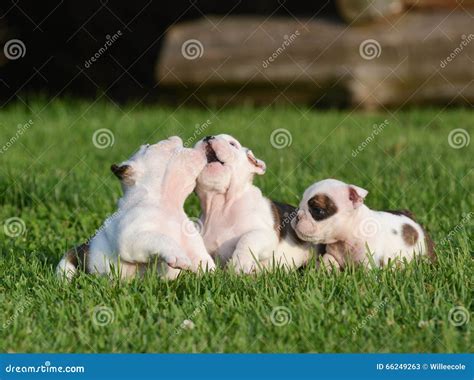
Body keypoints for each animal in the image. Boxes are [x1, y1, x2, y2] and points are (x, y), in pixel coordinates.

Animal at [56, 136, 217, 280]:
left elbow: (205, 262)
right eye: (148, 145)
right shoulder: (133, 238)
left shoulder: (195, 248)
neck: (166, 204)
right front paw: (178, 255)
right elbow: (161, 238)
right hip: (68, 263)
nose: (174, 137)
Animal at [191, 134, 316, 274]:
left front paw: (240, 262)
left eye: (232, 144)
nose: (208, 137)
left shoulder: (267, 234)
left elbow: (248, 238)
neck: (220, 206)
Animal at [292, 179, 436, 270]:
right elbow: (328, 259)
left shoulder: (369, 264)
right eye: (299, 205)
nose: (297, 216)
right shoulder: (333, 254)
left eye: (317, 210)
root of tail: (412, 219)